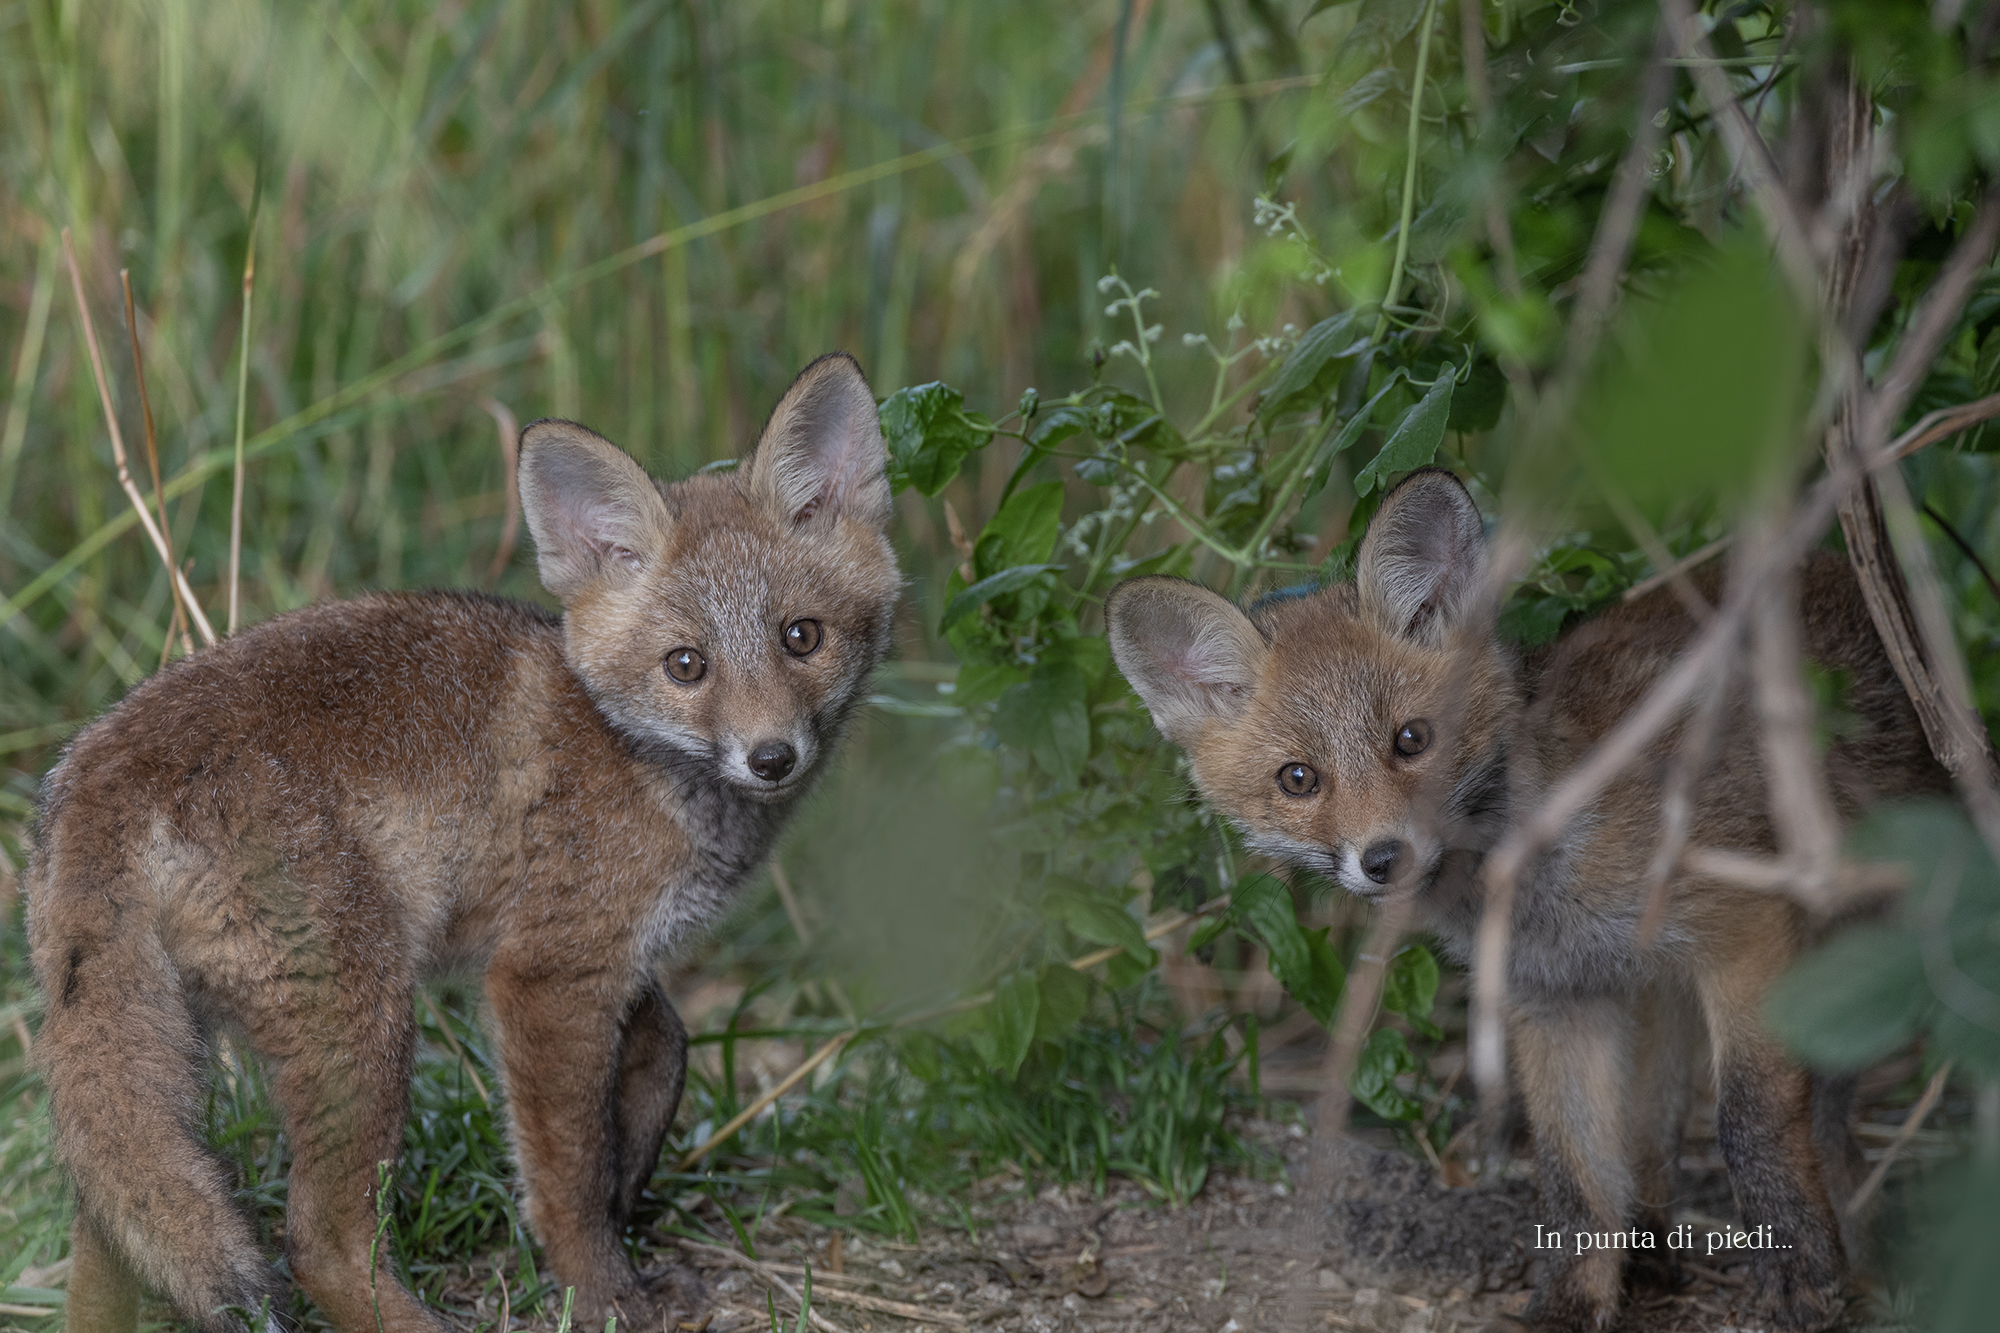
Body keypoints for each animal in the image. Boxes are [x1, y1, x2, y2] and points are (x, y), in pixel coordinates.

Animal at [24, 353, 900, 1333]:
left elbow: (663, 1058)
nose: (772, 756)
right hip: (366, 1026)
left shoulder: (603, 963)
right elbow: (566, 1173)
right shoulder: (543, 975)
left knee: (114, 1227)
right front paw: (603, 1287)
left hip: (156, 1058)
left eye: (801, 637)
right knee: (318, 1244)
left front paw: (631, 1189)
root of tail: (96, 767)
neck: (628, 752)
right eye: (687, 665)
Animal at [1105, 468, 1949, 1332]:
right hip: (1667, 990)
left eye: (1413, 739)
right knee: (1662, 1134)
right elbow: (1574, 1173)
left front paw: (1800, 1273)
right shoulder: (1556, 995)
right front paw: (1572, 1301)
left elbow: (1750, 1119)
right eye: (1299, 778)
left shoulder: (1744, 928)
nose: (1383, 858)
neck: (1540, 881)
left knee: (1827, 1122)